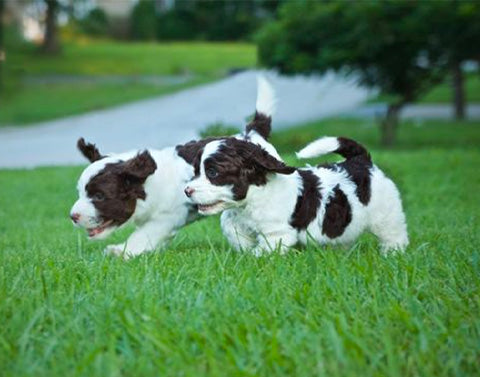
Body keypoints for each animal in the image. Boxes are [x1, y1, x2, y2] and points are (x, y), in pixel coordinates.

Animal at [70, 76, 280, 258]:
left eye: (99, 196)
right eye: (80, 193)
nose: (73, 216)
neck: (147, 185)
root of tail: (251, 134)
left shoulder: (165, 218)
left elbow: (141, 236)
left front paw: (120, 252)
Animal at [184, 136, 408, 256]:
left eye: (212, 173)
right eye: (195, 171)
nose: (187, 191)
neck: (253, 197)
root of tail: (362, 161)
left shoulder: (276, 233)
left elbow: (264, 249)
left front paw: (252, 256)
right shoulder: (237, 215)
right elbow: (230, 224)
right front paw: (244, 247)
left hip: (385, 214)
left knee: (393, 233)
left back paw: (393, 252)